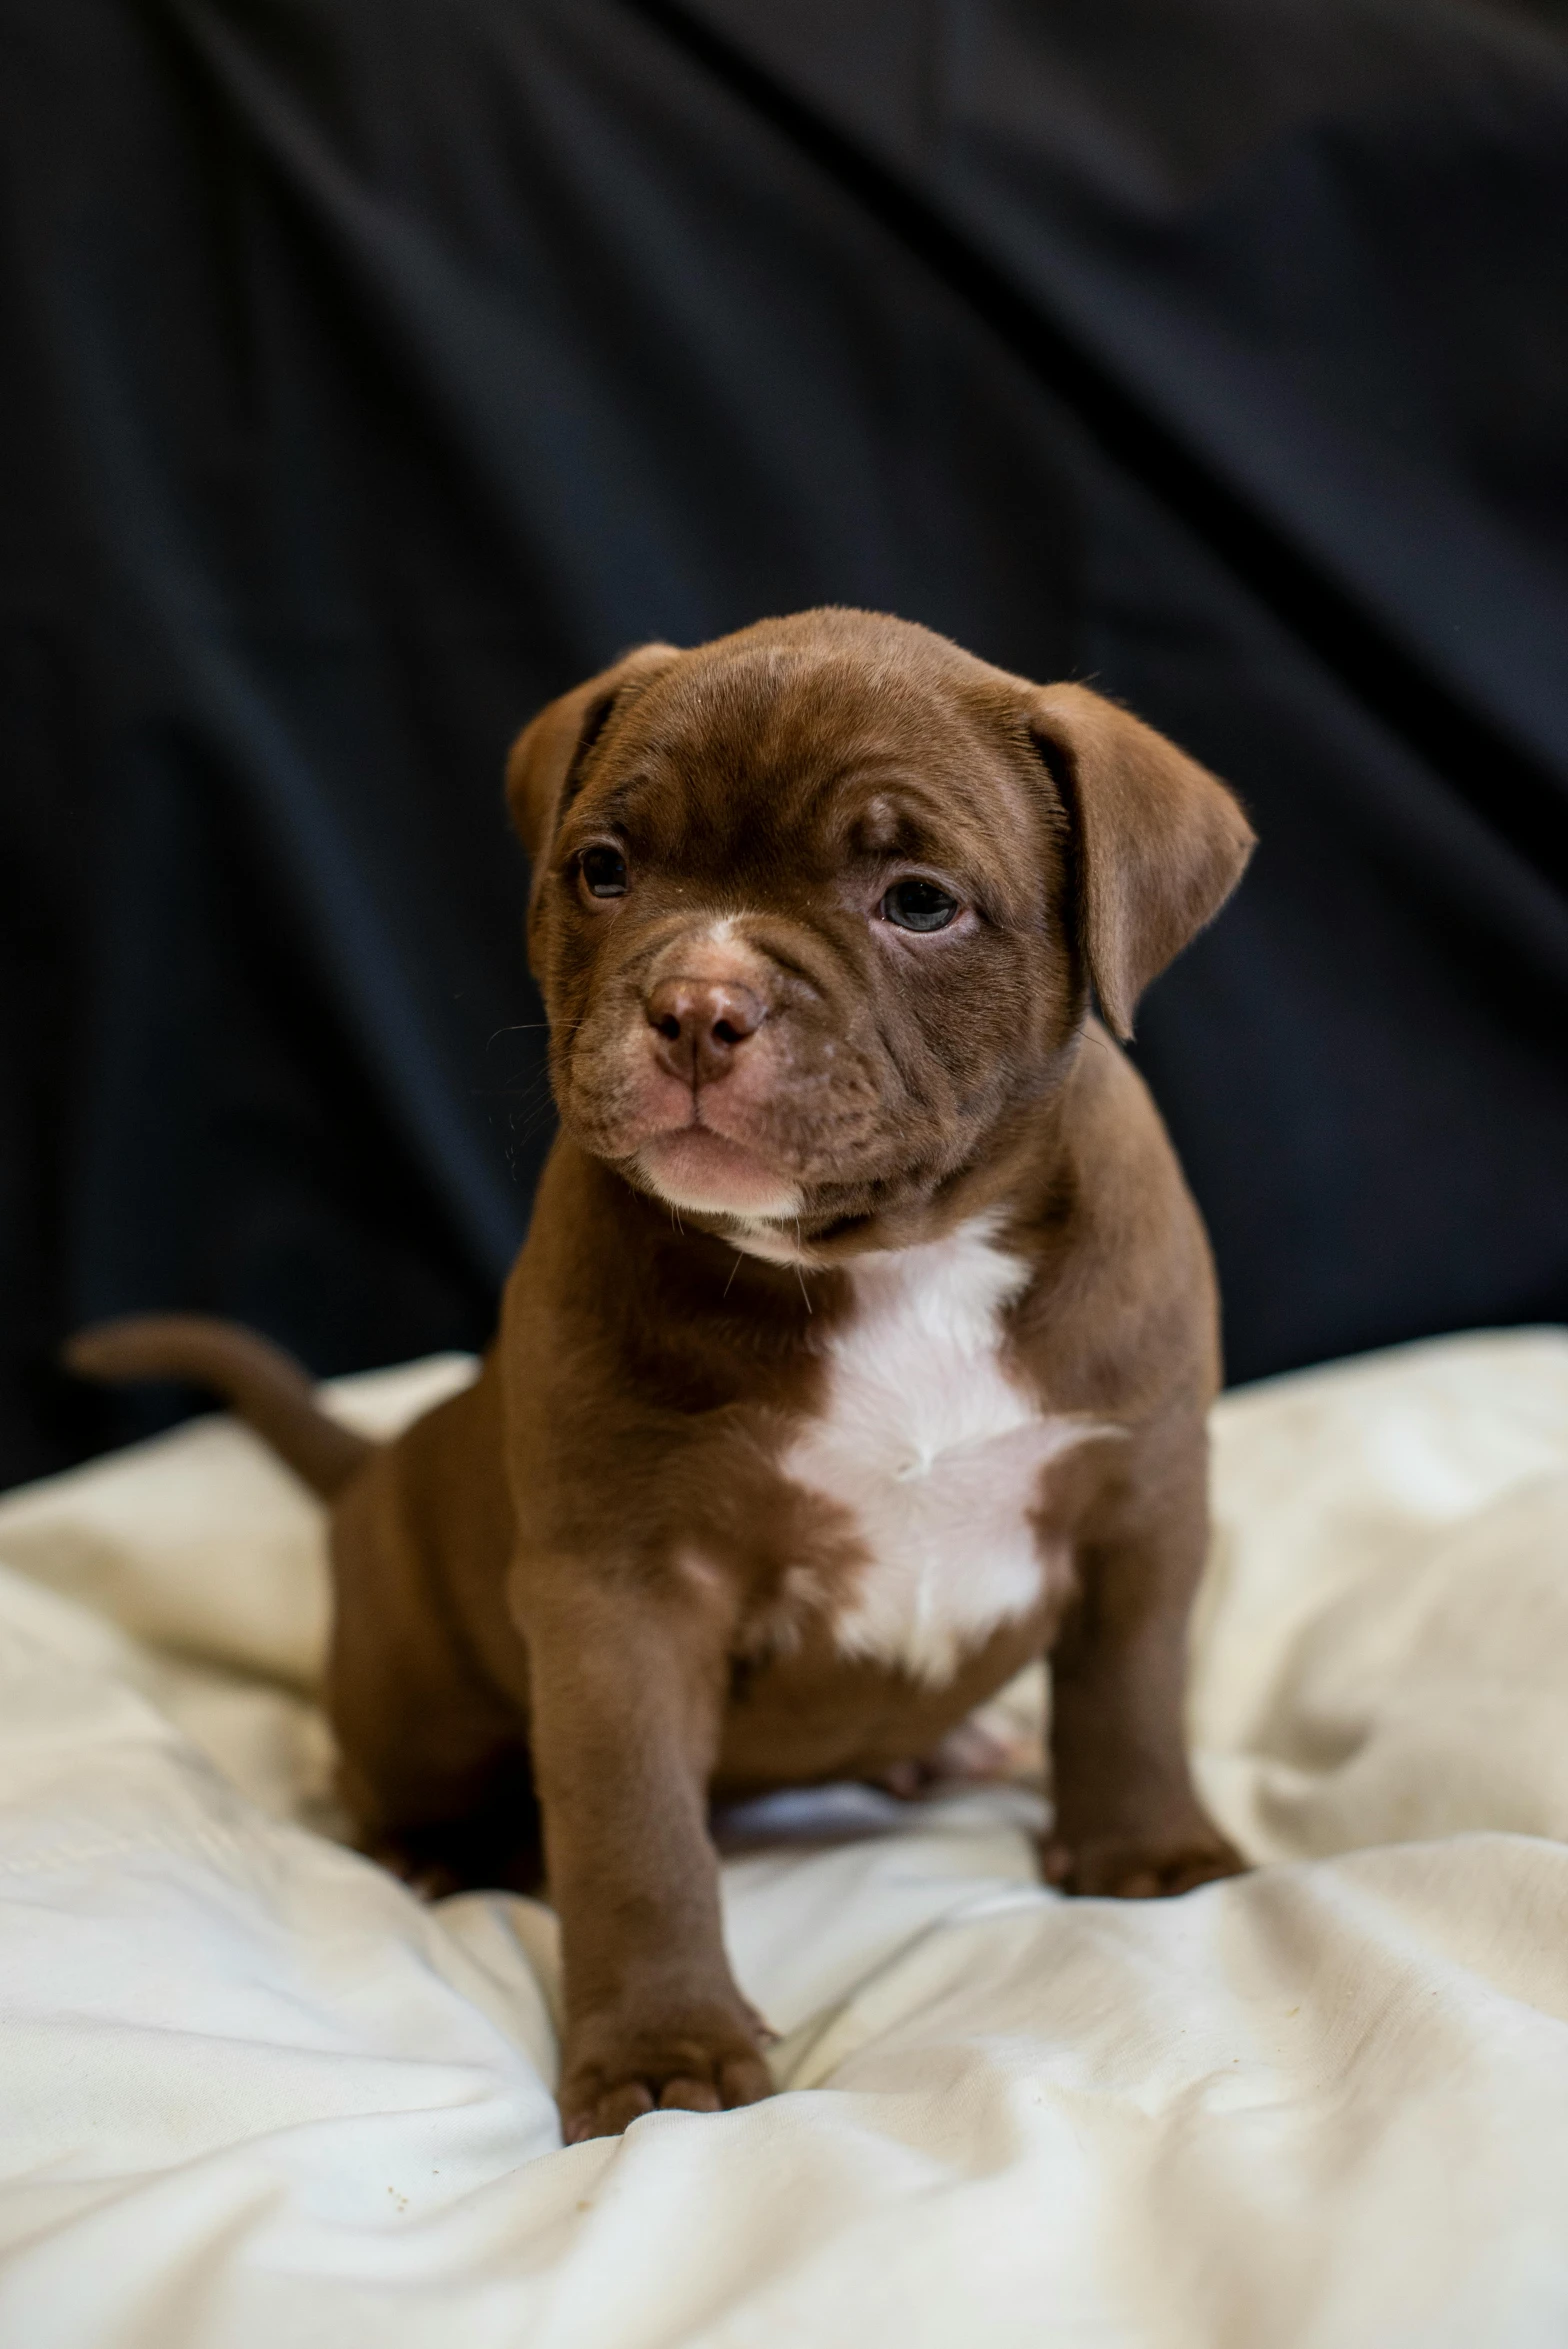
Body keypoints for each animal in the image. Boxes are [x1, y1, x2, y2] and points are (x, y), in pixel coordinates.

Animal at [70, 610, 1248, 2151]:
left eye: (918, 902)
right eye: (605, 870)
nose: (697, 1002)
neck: (894, 1259)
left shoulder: (1139, 1500)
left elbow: (1130, 1693)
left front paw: (1147, 1852)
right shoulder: (620, 1593)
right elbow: (633, 1833)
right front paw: (660, 2055)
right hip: (409, 1673)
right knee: (405, 1774)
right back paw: (438, 1850)